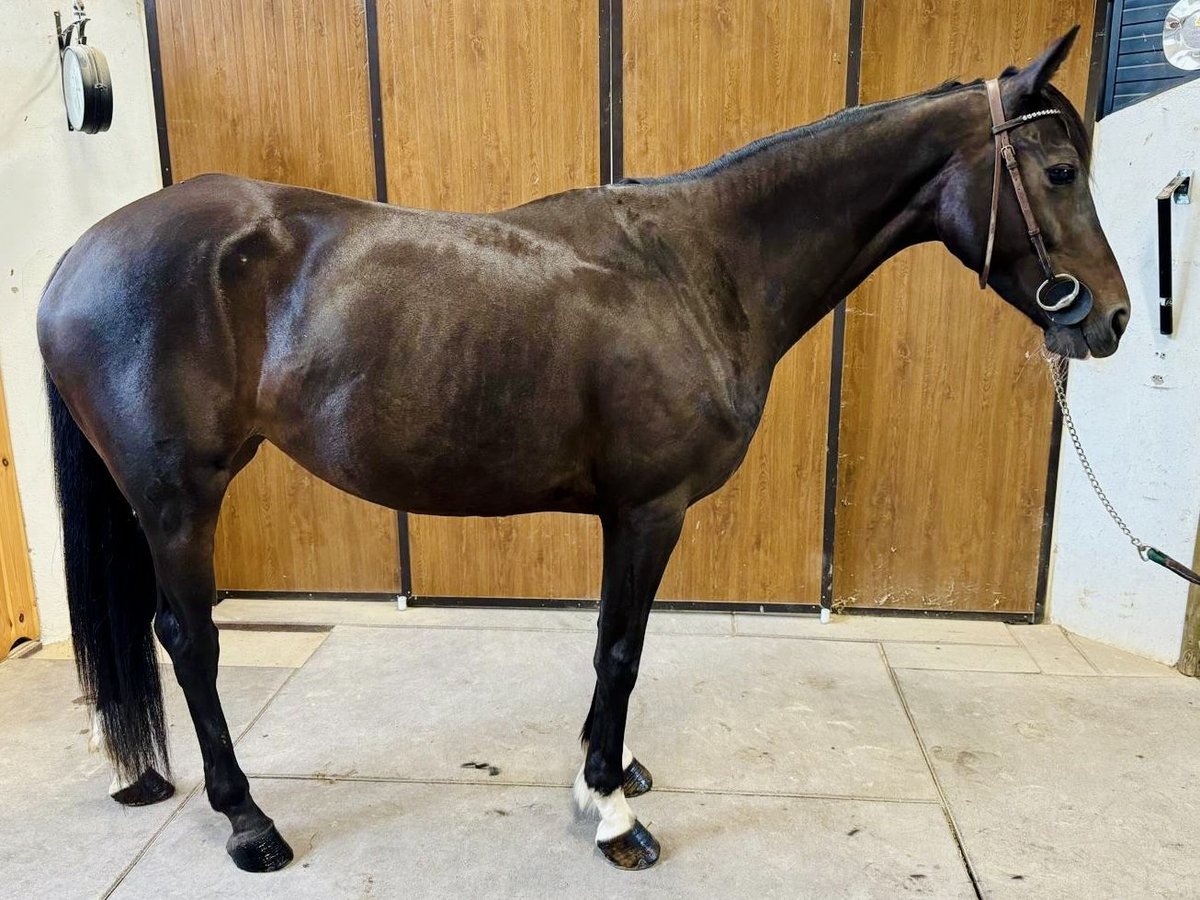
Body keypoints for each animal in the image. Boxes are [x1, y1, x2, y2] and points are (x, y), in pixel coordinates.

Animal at [37, 30, 1123, 873]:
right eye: (1060, 173)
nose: (1110, 320)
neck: (700, 269)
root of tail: (77, 257)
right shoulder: (650, 510)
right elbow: (623, 648)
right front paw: (611, 811)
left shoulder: (624, 514)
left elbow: (610, 644)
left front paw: (610, 770)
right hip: (178, 501)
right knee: (189, 640)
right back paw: (249, 822)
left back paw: (139, 772)